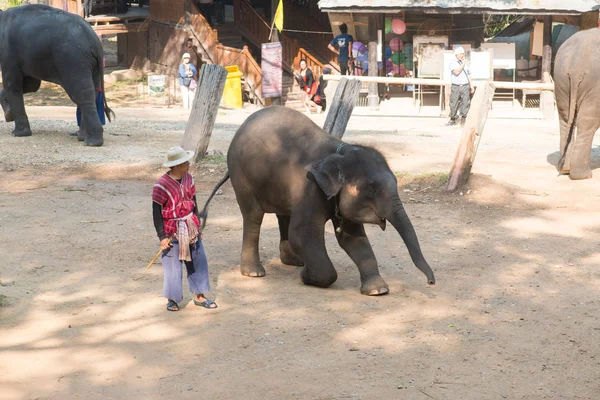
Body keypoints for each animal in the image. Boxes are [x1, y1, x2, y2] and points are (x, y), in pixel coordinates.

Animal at [0, 4, 113, 146]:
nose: (8, 117)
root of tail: (94, 40)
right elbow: (32, 85)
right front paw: (8, 112)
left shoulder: (8, 53)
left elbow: (13, 85)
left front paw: (18, 133)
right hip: (91, 65)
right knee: (92, 92)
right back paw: (82, 137)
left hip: (73, 59)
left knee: (81, 94)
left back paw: (91, 142)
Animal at [203, 106, 436, 294]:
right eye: (371, 188)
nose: (431, 282)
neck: (341, 150)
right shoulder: (310, 188)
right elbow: (302, 233)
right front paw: (306, 277)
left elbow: (352, 238)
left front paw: (378, 290)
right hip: (242, 176)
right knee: (254, 217)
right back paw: (255, 272)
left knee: (283, 215)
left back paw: (294, 262)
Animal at [552, 27, 600, 179]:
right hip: (595, 86)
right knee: (587, 123)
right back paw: (584, 175)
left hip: (560, 79)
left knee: (565, 119)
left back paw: (565, 169)